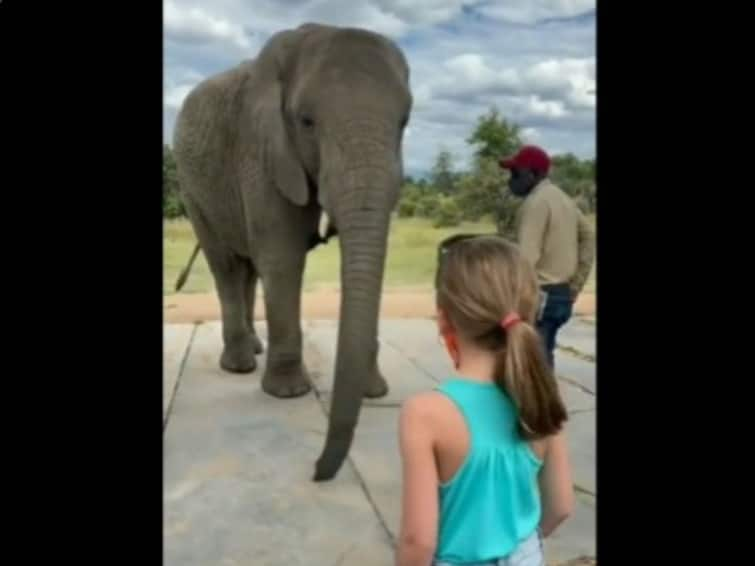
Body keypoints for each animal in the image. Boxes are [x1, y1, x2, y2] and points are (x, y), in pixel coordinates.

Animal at [172, 23, 414, 484]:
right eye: (306, 122)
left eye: (405, 122)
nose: (317, 471)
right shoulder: (260, 148)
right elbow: (283, 258)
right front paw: (287, 393)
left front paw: (374, 390)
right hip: (193, 189)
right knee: (226, 266)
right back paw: (240, 365)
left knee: (247, 269)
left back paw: (254, 349)